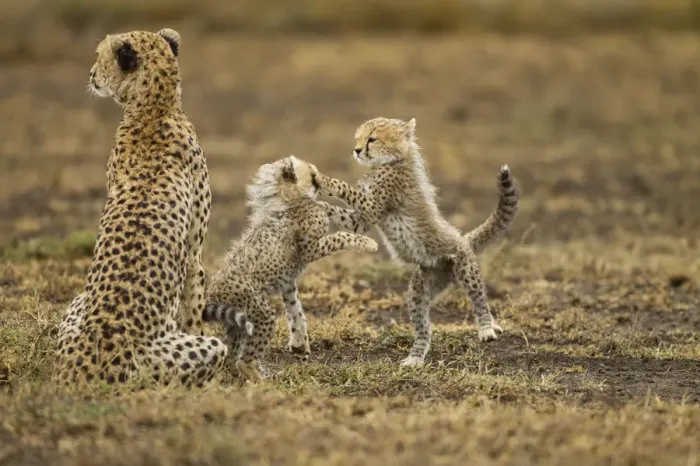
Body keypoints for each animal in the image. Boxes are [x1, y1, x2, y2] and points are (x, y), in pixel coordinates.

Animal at [53, 28, 241, 388]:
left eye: (99, 57)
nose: (91, 75)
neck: (154, 111)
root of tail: (81, 367)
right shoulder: (194, 255)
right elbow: (194, 312)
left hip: (76, 310)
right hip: (202, 349)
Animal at [205, 155, 379, 382]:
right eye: (312, 174)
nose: (321, 181)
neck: (289, 198)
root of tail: (212, 291)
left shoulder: (288, 281)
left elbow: (296, 310)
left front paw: (300, 342)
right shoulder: (310, 250)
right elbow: (340, 236)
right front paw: (369, 243)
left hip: (239, 319)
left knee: (232, 351)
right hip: (260, 311)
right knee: (244, 358)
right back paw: (260, 379)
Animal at [313, 117, 520, 367]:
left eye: (372, 139)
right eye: (358, 138)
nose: (357, 150)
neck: (393, 161)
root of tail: (463, 240)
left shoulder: (372, 208)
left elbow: (345, 187)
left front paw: (321, 180)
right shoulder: (362, 220)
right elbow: (343, 212)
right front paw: (315, 205)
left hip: (464, 267)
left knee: (478, 296)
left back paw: (487, 327)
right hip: (421, 287)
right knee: (424, 327)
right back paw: (415, 357)